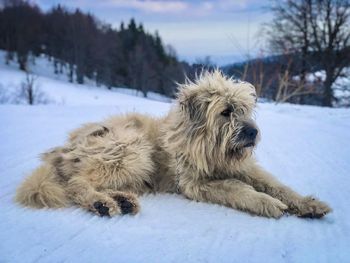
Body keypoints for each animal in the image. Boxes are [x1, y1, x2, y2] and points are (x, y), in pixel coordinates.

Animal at [15, 70, 330, 219]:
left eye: (244, 110)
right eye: (226, 111)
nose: (253, 132)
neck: (208, 148)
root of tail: (63, 150)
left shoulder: (246, 168)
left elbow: (276, 185)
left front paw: (307, 203)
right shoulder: (195, 182)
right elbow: (237, 189)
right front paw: (266, 203)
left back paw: (122, 200)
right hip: (131, 149)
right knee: (77, 183)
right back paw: (101, 202)